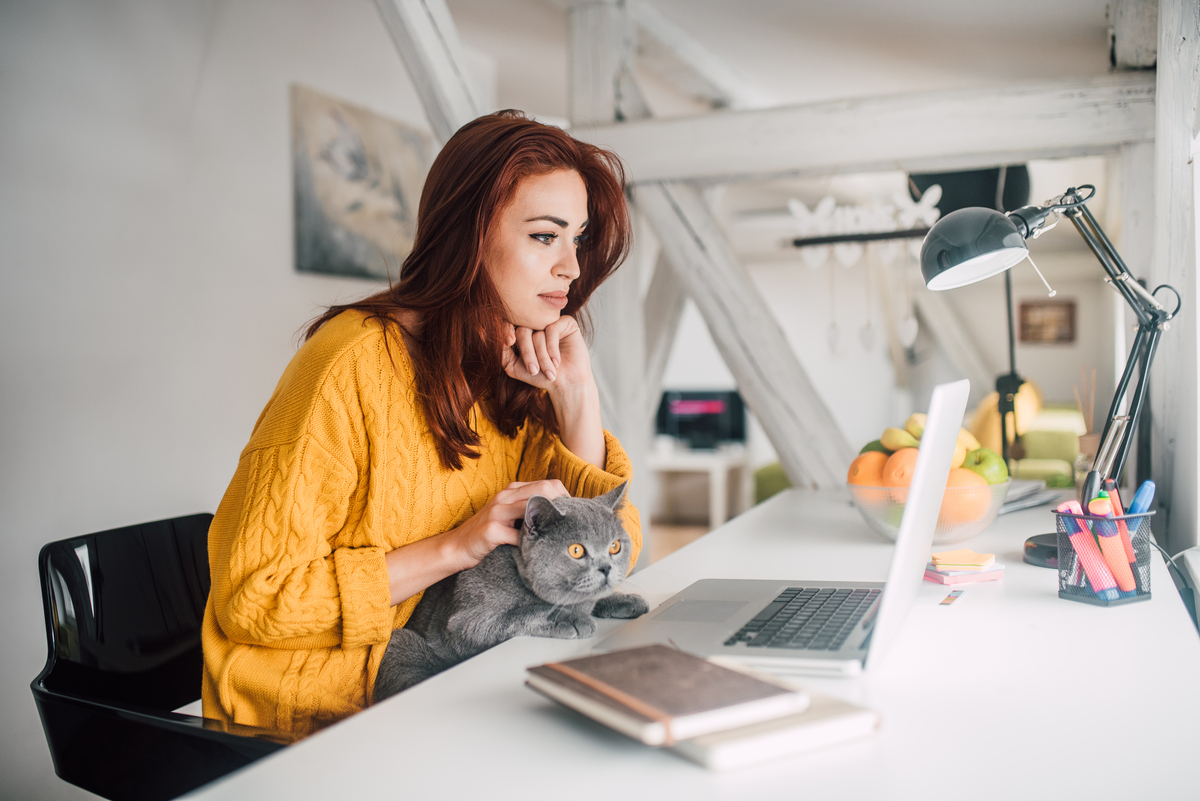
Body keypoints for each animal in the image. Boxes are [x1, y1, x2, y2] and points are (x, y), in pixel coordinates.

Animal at [374, 479, 652, 695]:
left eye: (615, 546)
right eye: (576, 550)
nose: (606, 568)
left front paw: (626, 600)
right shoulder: (465, 623)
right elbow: (521, 613)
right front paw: (571, 618)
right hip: (400, 643)